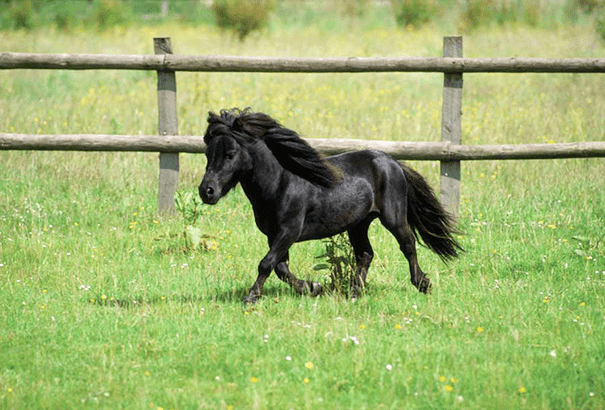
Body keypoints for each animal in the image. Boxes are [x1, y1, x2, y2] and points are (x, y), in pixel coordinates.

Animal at [201, 107, 460, 302]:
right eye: (207, 153)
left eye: (230, 154)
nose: (206, 191)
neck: (280, 183)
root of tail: (393, 162)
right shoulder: (274, 235)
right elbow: (280, 268)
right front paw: (313, 287)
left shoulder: (289, 231)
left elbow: (266, 264)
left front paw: (251, 297)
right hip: (358, 223)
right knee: (365, 254)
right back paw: (354, 292)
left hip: (393, 218)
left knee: (407, 245)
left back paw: (422, 284)